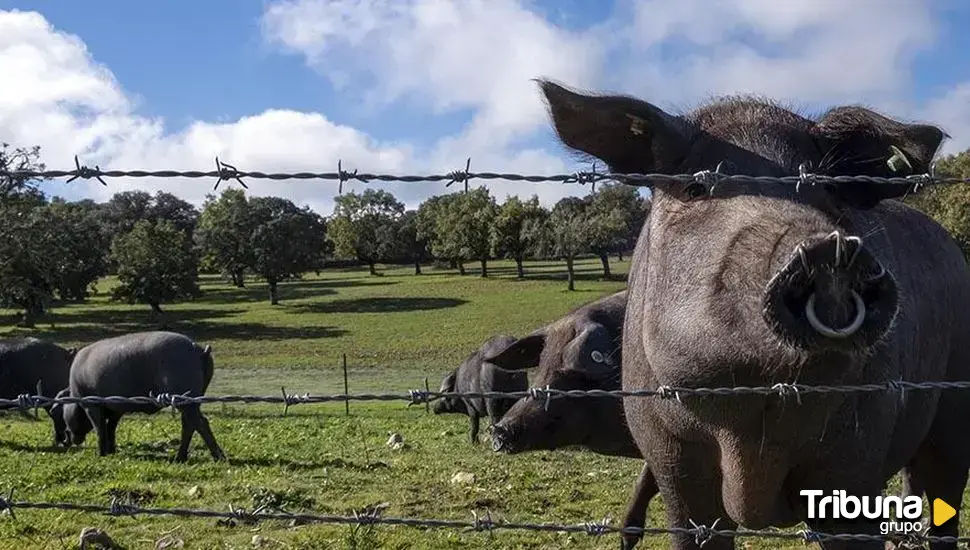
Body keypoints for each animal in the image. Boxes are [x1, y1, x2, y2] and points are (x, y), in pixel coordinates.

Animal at [50, 334, 223, 464]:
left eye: (61, 412)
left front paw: (101, 454)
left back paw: (192, 458)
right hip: (193, 399)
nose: (65, 439)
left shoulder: (91, 405)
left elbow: (100, 428)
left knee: (196, 423)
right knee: (194, 423)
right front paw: (111, 451)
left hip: (185, 398)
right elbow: (111, 428)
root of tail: (199, 350)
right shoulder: (116, 408)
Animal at [540, 78, 968, 550]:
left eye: (827, 189)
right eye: (697, 188)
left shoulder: (856, 461)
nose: (829, 249)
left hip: (955, 405)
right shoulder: (671, 459)